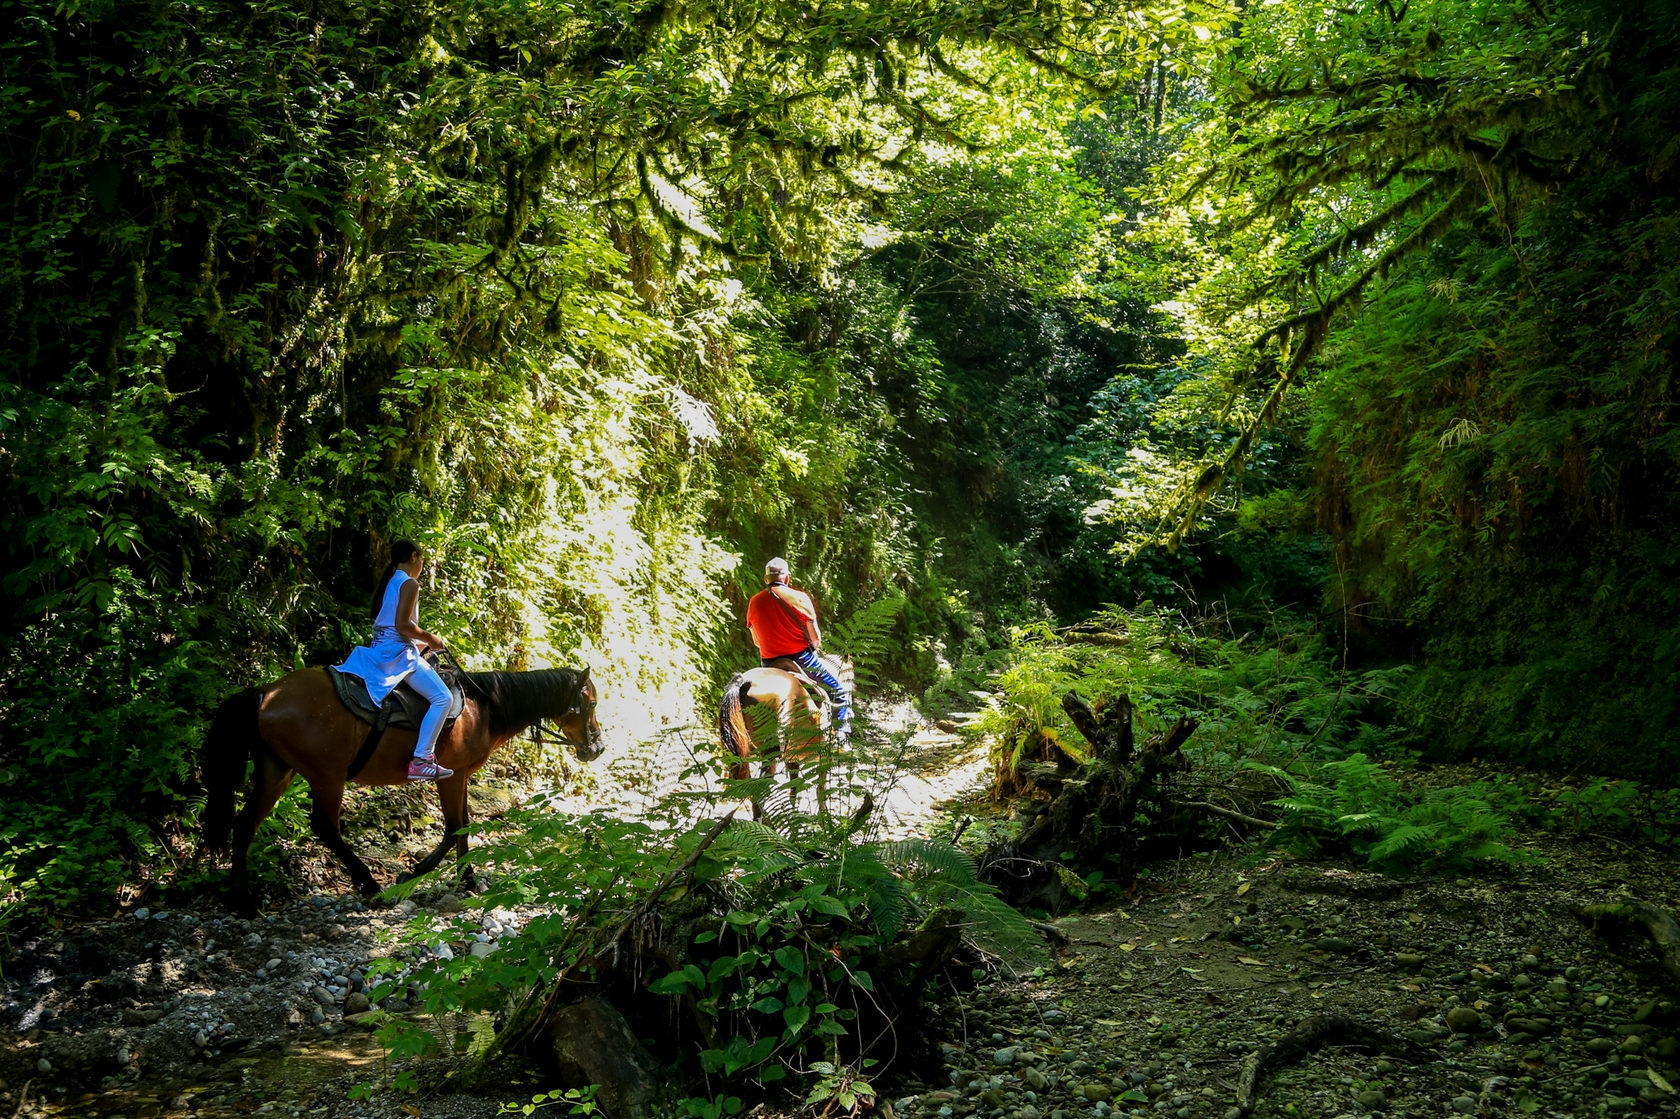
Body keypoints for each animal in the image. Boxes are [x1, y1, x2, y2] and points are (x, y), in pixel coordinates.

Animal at [201, 661, 604, 907]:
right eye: (590, 703)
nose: (597, 748)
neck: (483, 708)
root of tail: (266, 693)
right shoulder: (452, 776)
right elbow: (454, 829)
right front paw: (415, 872)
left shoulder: (462, 777)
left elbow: (464, 828)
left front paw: (468, 879)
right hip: (327, 775)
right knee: (325, 827)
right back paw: (369, 883)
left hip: (277, 771)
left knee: (245, 824)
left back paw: (241, 898)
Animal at [719, 648, 853, 816]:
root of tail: (745, 682)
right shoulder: (824, 756)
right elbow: (821, 791)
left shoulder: (793, 759)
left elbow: (794, 790)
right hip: (772, 753)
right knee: (759, 796)